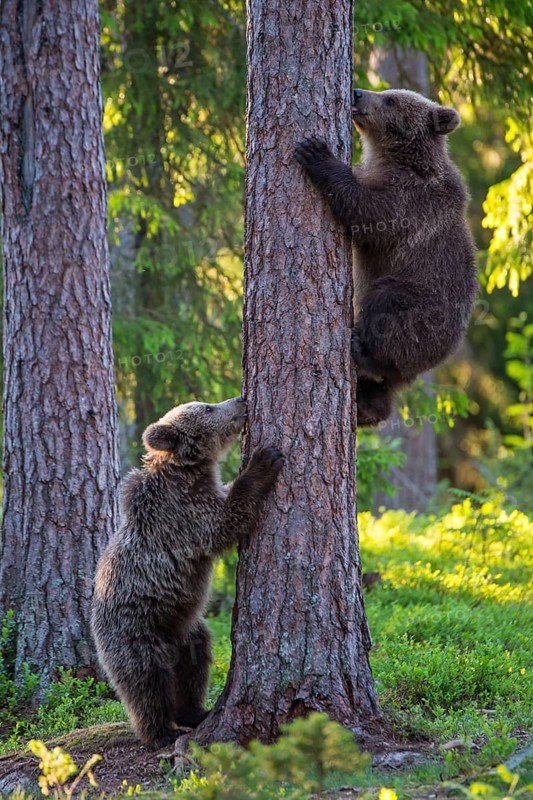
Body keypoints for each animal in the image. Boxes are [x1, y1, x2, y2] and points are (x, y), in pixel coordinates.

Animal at [90, 396, 284, 749]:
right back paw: (161, 732)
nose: (240, 399)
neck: (189, 470)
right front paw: (264, 461)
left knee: (194, 665)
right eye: (207, 407)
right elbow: (223, 524)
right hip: (136, 631)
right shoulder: (182, 511)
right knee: (145, 682)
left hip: (185, 628)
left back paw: (195, 712)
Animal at [295, 88, 477, 426]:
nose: (357, 92)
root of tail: (446, 352)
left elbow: (365, 210)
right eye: (387, 92)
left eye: (391, 100)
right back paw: (368, 406)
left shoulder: (410, 201)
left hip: (421, 307)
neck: (396, 158)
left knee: (387, 312)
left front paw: (315, 152)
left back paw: (362, 351)